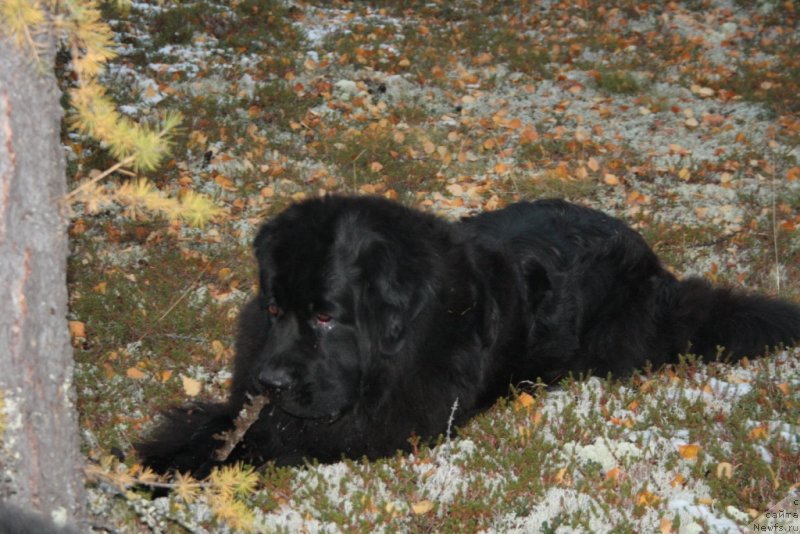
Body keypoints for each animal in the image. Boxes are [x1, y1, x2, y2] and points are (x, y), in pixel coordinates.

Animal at [139, 196, 800, 478]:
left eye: (326, 317)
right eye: (274, 308)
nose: (271, 380)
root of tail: (652, 259)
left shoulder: (382, 429)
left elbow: (275, 443)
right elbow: (219, 423)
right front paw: (159, 456)